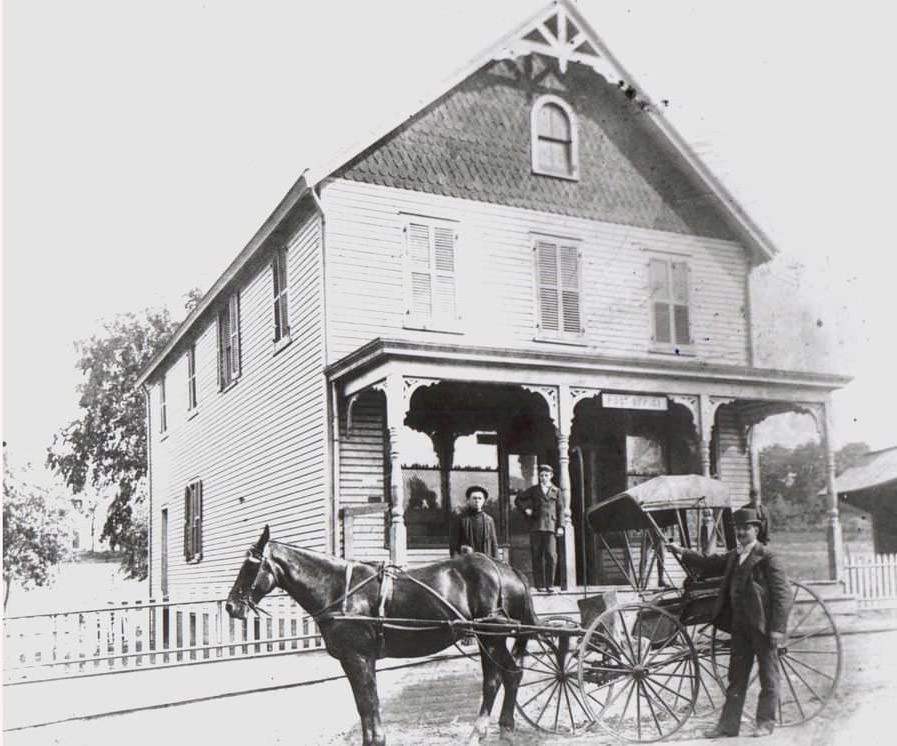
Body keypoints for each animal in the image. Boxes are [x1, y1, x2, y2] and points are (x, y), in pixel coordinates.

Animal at [226, 524, 540, 744]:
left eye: (251, 566)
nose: (231, 605)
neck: (340, 589)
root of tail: (506, 569)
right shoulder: (357, 660)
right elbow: (365, 704)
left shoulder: (358, 658)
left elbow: (368, 703)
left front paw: (376, 739)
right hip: (488, 639)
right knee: (500, 677)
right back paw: (494, 729)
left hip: (491, 637)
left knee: (504, 677)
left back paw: (493, 731)